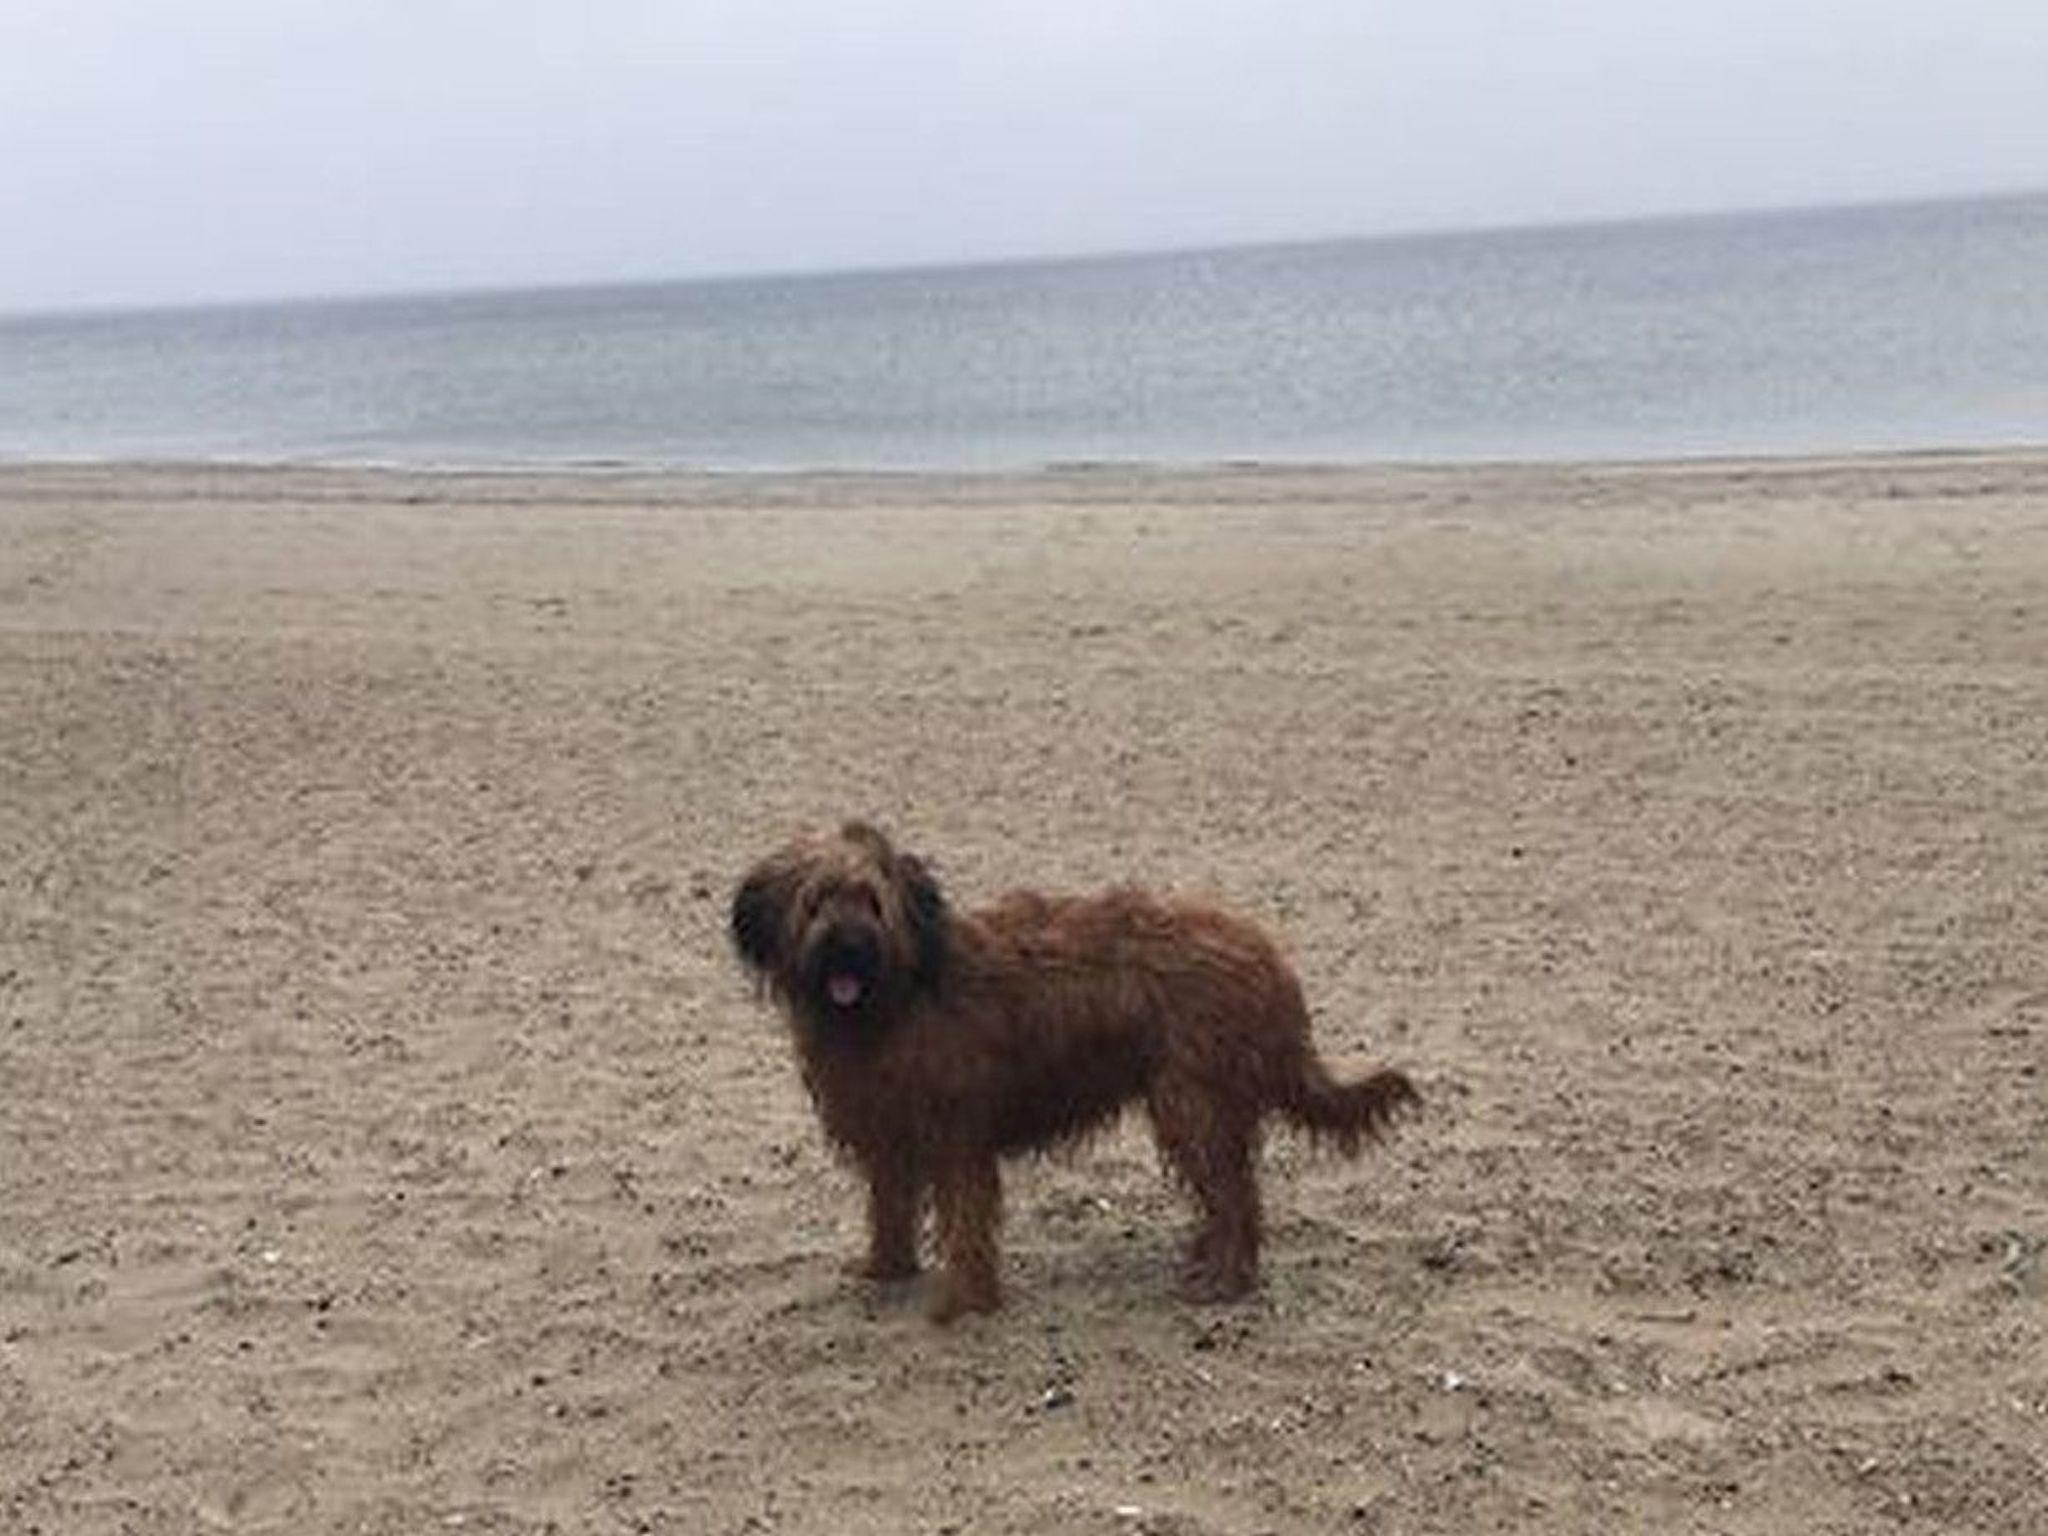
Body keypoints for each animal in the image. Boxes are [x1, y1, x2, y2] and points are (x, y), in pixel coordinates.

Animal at [730, 821, 1417, 1321]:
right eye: (816, 903)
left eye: (872, 903)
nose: (847, 945)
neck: (895, 997)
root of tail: (1267, 954)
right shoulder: (887, 1134)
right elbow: (890, 1206)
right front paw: (886, 1269)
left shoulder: (955, 1130)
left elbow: (965, 1218)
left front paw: (964, 1301)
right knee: (1232, 1188)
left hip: (1191, 1101)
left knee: (1236, 1194)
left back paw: (1224, 1278)